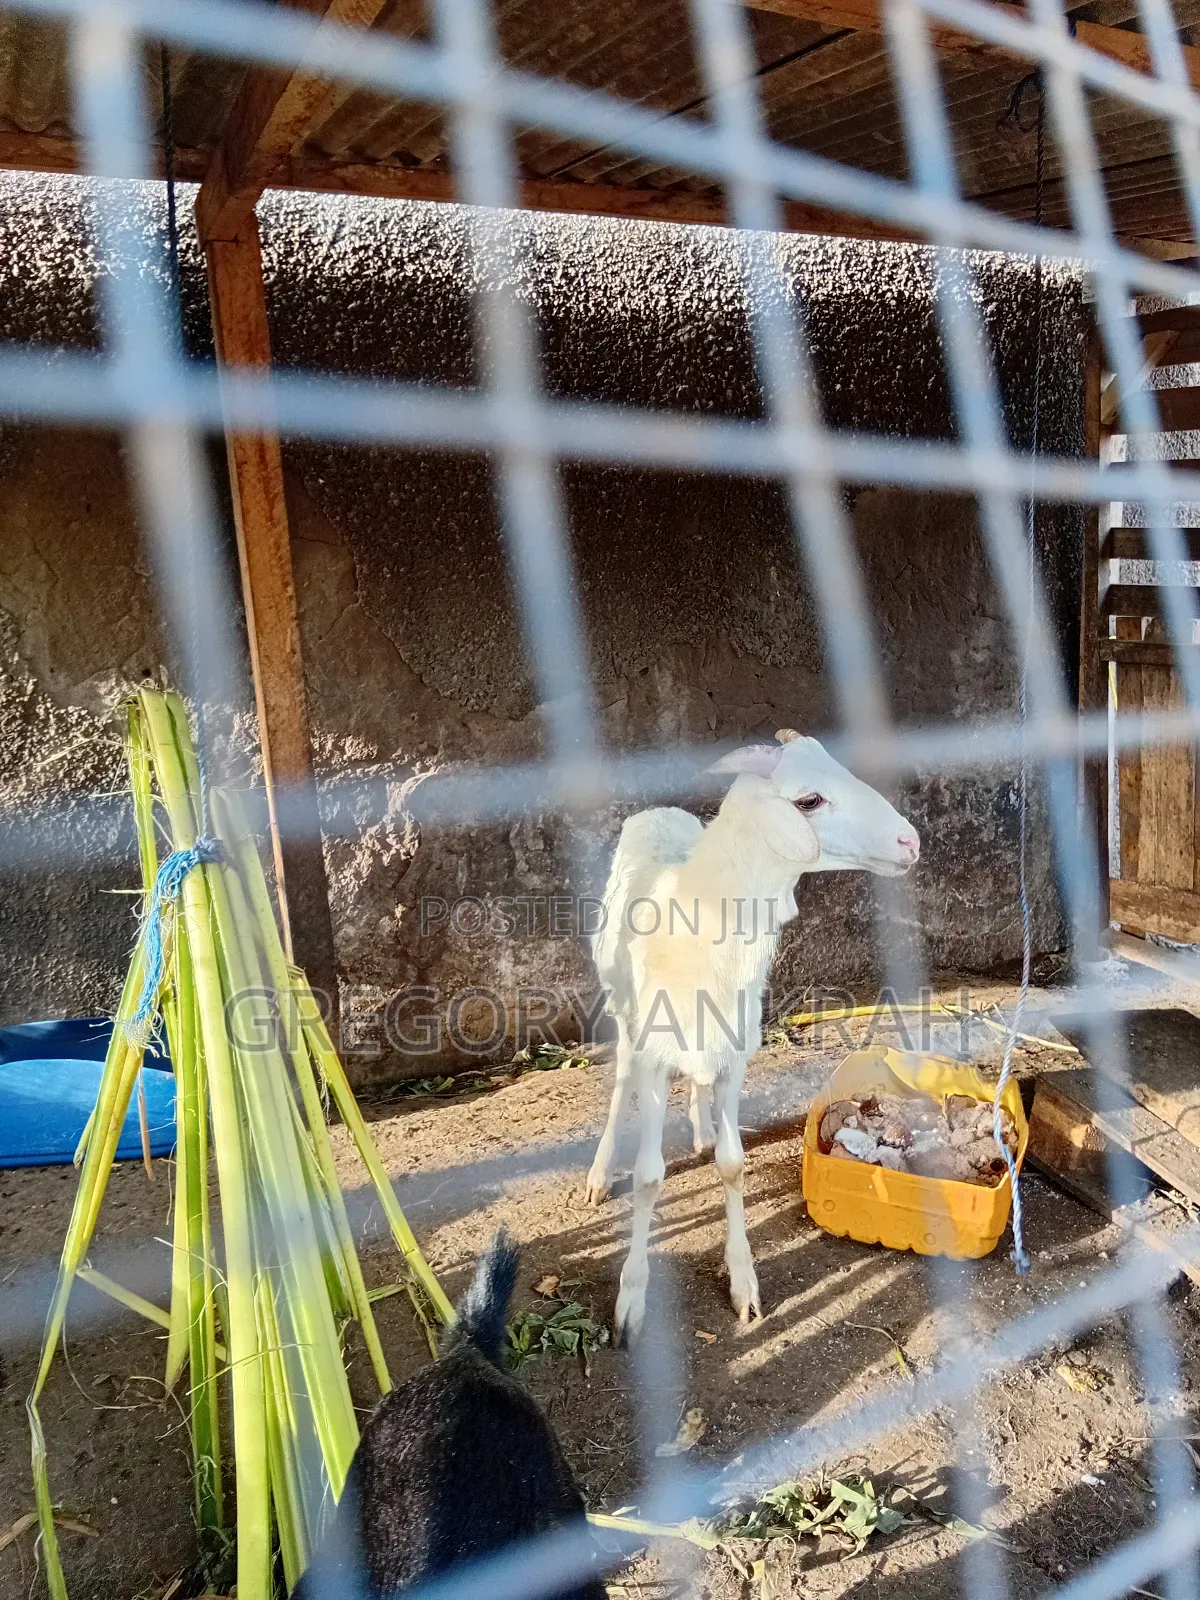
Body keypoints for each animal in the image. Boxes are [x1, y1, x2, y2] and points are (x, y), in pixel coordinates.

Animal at [586, 731, 920, 1343]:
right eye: (809, 800)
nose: (911, 841)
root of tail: (658, 810)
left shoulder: (736, 1053)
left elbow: (732, 1165)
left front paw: (744, 1285)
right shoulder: (652, 1052)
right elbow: (647, 1177)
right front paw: (631, 1302)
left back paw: (699, 1129)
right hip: (622, 1010)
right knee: (619, 1079)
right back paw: (598, 1174)